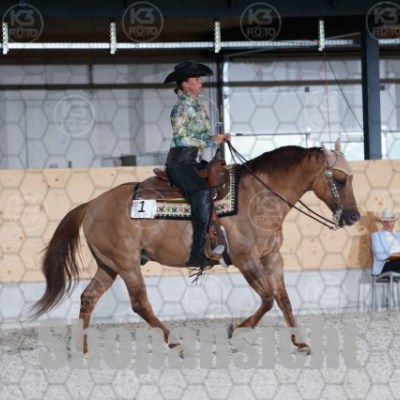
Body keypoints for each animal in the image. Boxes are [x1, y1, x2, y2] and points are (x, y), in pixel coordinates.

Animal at [31, 138, 360, 354]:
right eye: (339, 179)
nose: (354, 216)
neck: (258, 197)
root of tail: (90, 205)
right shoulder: (246, 260)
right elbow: (267, 299)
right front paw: (236, 329)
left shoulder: (272, 258)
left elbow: (284, 300)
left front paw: (300, 342)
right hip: (126, 264)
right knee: (140, 304)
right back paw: (174, 341)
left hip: (108, 266)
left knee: (88, 298)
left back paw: (83, 349)